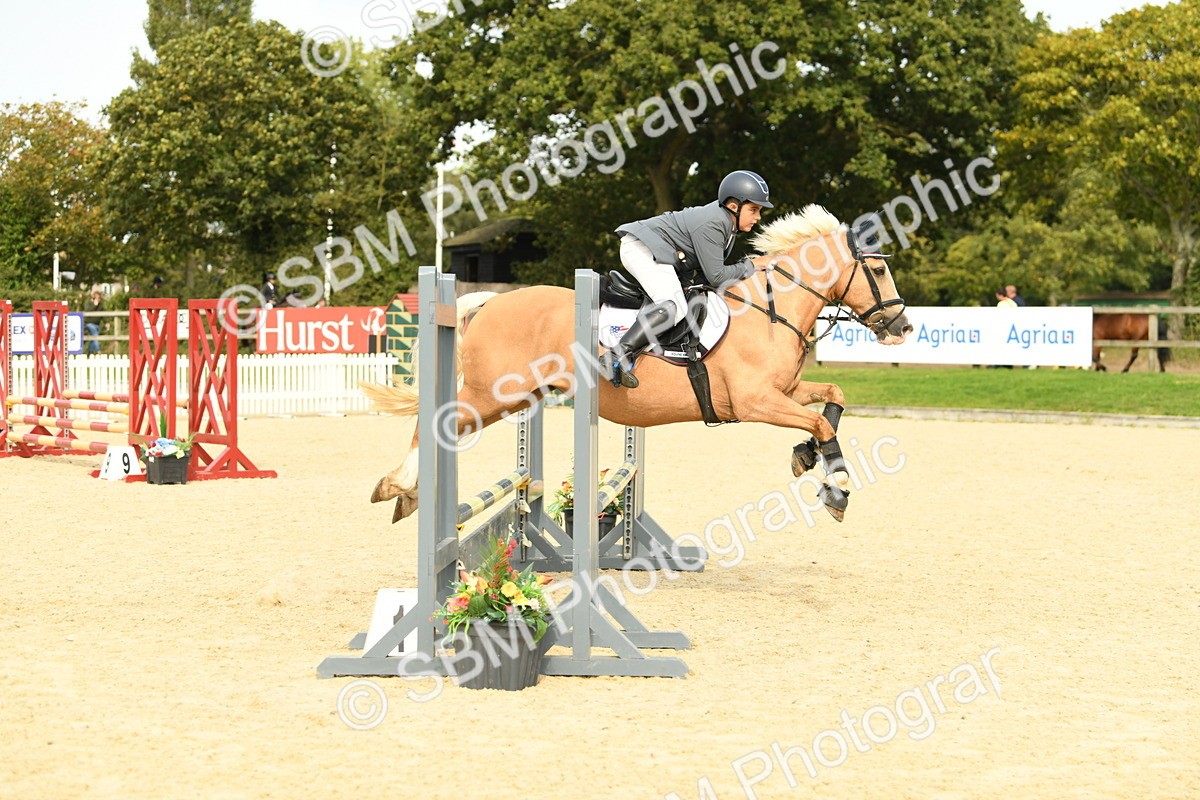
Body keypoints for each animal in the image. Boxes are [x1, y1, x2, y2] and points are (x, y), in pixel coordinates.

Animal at [365, 205, 912, 524]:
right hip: (491, 393)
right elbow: (821, 422)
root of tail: (494, 301)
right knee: (435, 422)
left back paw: (409, 494)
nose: (902, 326)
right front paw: (837, 487)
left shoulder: (784, 392)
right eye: (878, 269)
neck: (769, 309)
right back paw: (399, 487)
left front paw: (807, 458)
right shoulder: (754, 401)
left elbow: (832, 402)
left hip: (512, 398)